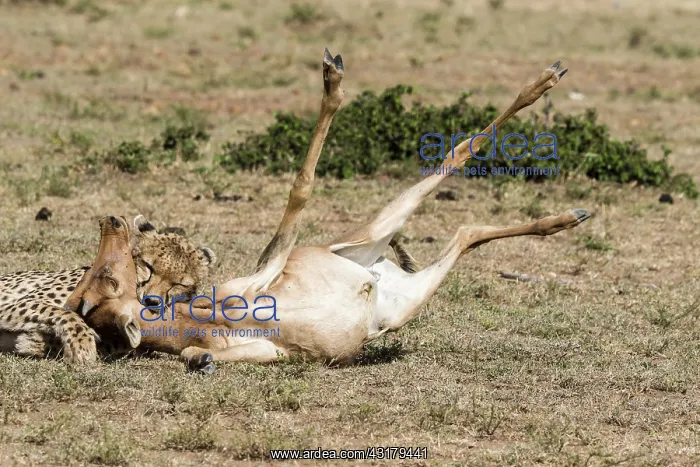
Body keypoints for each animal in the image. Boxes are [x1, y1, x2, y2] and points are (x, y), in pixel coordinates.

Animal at [0, 215, 217, 365]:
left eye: (179, 284)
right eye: (149, 266)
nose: (152, 301)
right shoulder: (16, 305)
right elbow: (67, 314)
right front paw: (82, 344)